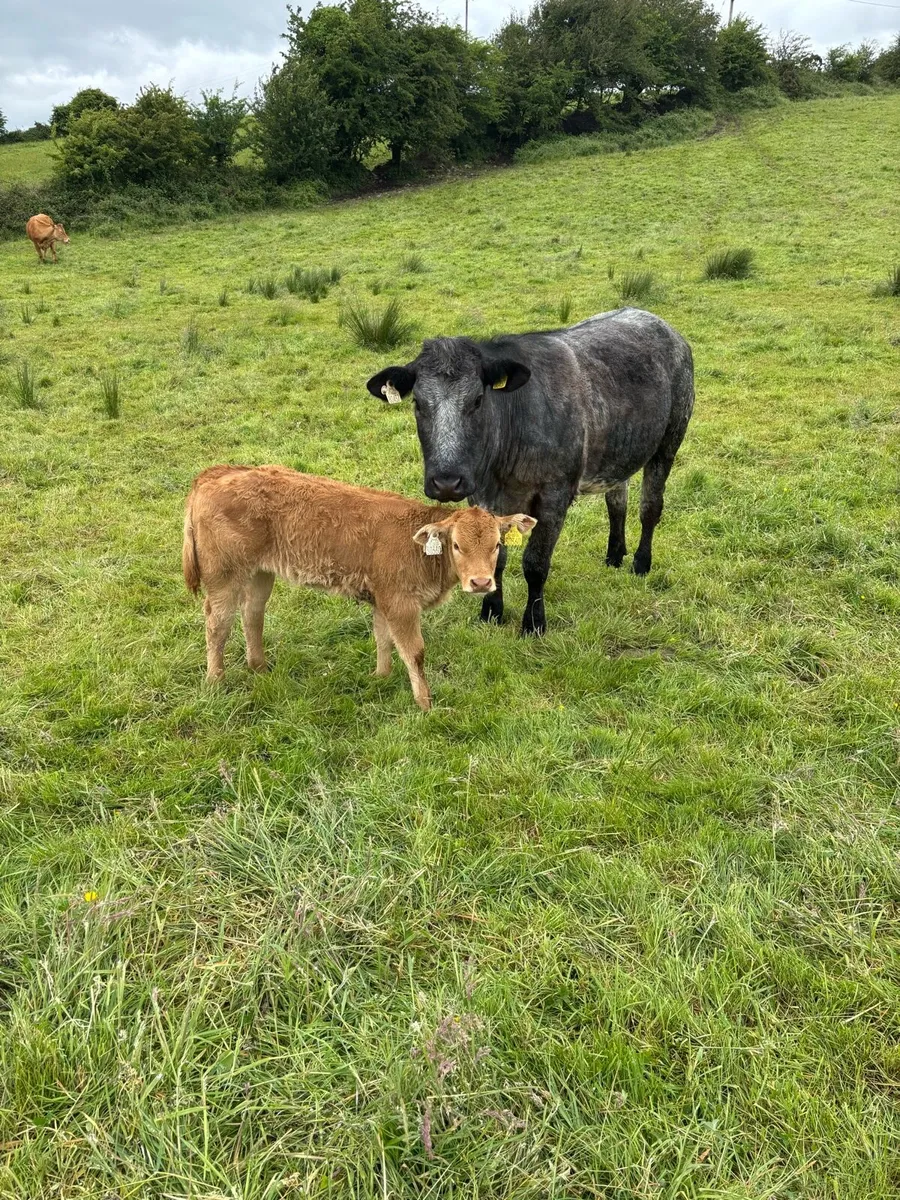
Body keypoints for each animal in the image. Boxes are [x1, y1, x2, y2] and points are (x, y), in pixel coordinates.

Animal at [182, 465, 536, 710]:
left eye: (496, 544)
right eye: (458, 545)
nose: (481, 582)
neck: (418, 548)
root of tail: (215, 474)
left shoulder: (384, 599)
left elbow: (383, 639)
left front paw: (381, 677)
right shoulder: (401, 604)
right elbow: (414, 652)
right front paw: (425, 703)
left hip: (260, 572)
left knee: (252, 614)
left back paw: (259, 666)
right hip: (224, 577)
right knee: (217, 625)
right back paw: (216, 681)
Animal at [367, 307, 694, 636]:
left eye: (478, 400)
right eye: (418, 403)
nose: (447, 482)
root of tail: (656, 321)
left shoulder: (554, 496)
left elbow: (535, 564)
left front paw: (534, 622)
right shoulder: (482, 497)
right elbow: (496, 556)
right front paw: (491, 611)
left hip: (669, 442)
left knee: (650, 507)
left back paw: (641, 562)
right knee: (617, 502)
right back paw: (614, 554)